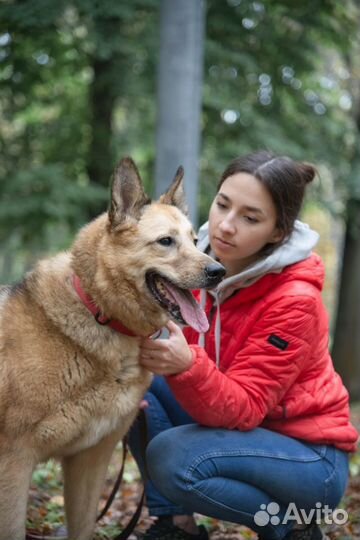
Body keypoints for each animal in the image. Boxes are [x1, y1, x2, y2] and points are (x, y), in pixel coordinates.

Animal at [0, 158, 225, 540]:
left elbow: (83, 528)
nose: (218, 271)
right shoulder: (14, 461)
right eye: (166, 241)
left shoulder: (91, 461)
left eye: (196, 241)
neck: (101, 313)